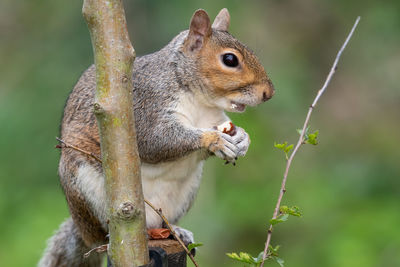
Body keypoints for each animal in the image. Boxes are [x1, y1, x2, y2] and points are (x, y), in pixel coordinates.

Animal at [39, 8, 274, 267]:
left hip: (184, 193)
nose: (269, 93)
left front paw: (242, 139)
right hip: (84, 187)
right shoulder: (145, 104)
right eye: (230, 60)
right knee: (100, 236)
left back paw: (175, 231)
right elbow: (155, 141)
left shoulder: (214, 116)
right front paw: (214, 139)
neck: (198, 99)